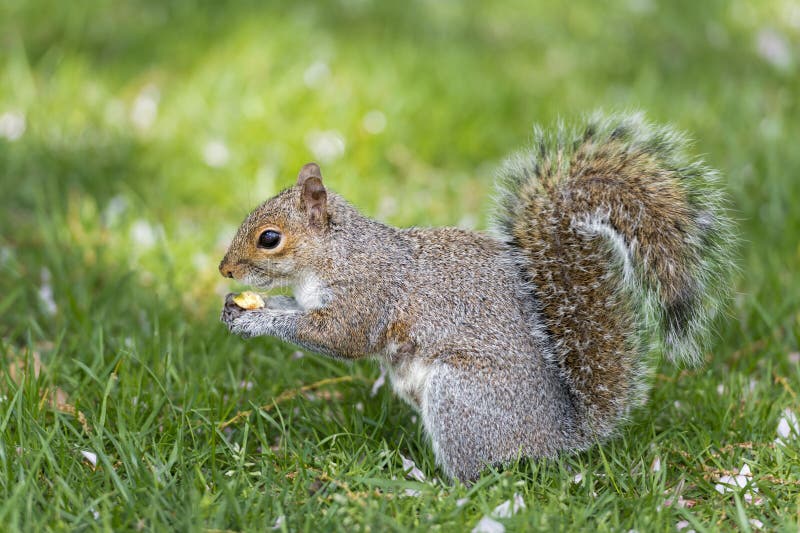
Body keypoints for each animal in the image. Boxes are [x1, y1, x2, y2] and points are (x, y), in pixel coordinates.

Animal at [217, 112, 732, 482]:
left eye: (269, 238)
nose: (224, 270)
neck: (329, 256)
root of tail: (563, 437)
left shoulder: (367, 293)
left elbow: (339, 337)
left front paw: (257, 321)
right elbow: (295, 310)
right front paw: (239, 308)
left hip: (461, 397)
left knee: (479, 475)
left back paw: (430, 483)